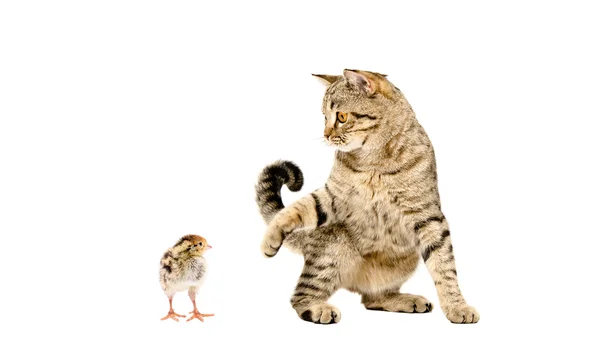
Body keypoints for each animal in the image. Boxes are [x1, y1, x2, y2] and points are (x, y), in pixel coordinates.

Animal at [255, 69, 480, 324]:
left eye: (341, 117)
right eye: (324, 117)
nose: (326, 135)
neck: (375, 161)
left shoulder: (428, 215)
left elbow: (445, 267)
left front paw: (457, 306)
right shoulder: (333, 196)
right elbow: (296, 208)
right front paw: (270, 237)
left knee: (371, 298)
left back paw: (405, 300)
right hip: (336, 243)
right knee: (301, 295)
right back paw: (318, 308)